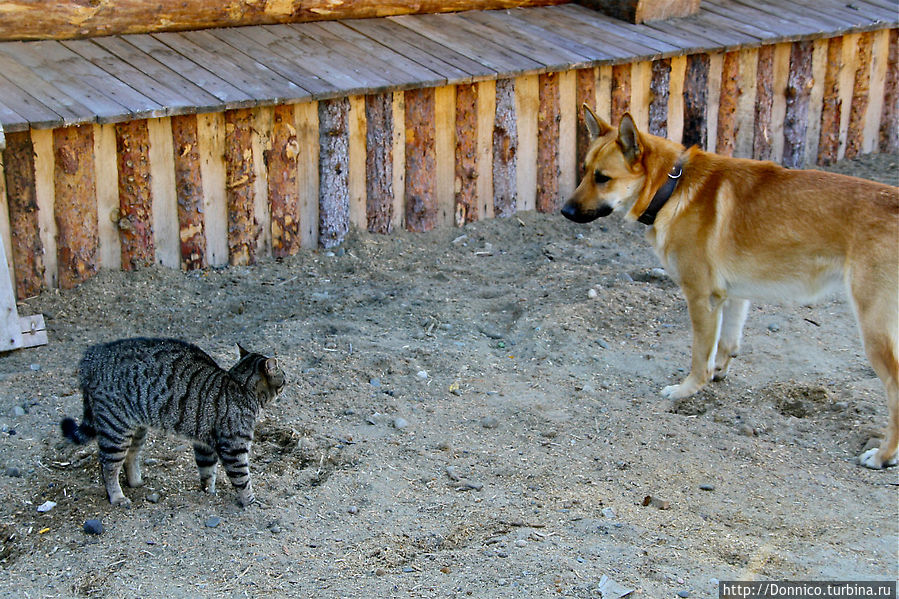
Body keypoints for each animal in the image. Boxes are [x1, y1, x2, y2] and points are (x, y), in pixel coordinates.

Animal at [61, 338, 284, 506]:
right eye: (282, 376)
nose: (288, 379)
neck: (240, 386)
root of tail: (91, 357)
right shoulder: (234, 448)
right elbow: (242, 479)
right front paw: (250, 501)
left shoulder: (204, 444)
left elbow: (207, 472)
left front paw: (208, 493)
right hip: (116, 428)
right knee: (108, 467)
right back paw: (117, 496)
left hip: (137, 429)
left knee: (130, 457)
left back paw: (136, 482)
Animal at [564, 106, 899, 468]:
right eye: (584, 171)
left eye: (602, 178)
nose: (564, 211)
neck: (672, 185)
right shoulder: (733, 296)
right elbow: (726, 342)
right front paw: (718, 373)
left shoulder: (701, 298)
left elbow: (700, 354)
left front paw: (686, 390)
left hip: (874, 330)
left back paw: (883, 455)